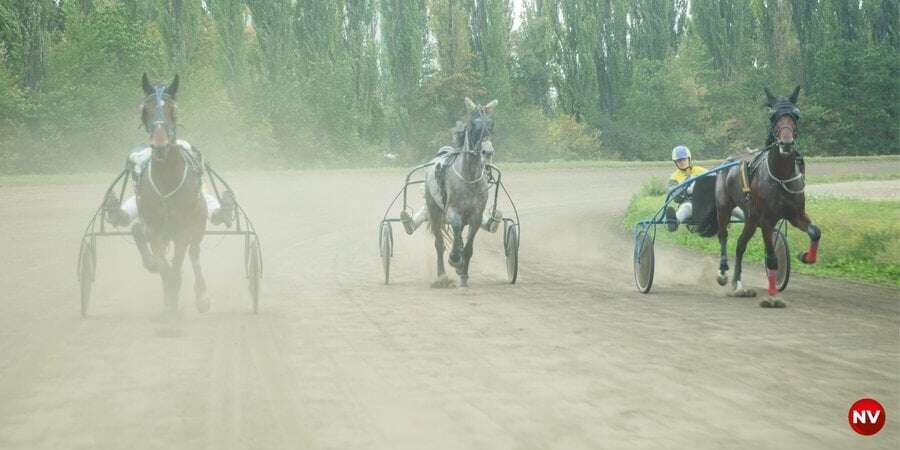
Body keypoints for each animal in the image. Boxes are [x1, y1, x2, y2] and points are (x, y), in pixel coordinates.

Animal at [130, 73, 209, 312]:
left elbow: (178, 261)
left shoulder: (183, 228)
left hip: (198, 222)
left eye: (173, 110)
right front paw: (168, 300)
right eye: (144, 109)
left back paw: (202, 295)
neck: (166, 180)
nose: (160, 145)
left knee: (194, 253)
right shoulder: (154, 227)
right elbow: (162, 264)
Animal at [424, 98, 496, 288]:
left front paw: (463, 274)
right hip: (434, 211)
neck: (468, 178)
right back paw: (441, 275)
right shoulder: (452, 211)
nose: (487, 152)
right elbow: (455, 227)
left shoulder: (476, 215)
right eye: (474, 125)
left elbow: (469, 246)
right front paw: (455, 259)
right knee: (439, 243)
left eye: (491, 125)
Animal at [712, 86, 820, 308]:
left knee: (740, 244)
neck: (781, 175)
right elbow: (771, 258)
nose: (786, 144)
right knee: (724, 236)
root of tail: (728, 161)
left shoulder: (795, 214)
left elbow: (815, 232)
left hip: (751, 218)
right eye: (773, 116)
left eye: (796, 114)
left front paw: (806, 256)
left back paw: (738, 284)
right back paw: (723, 272)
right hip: (724, 207)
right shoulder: (767, 220)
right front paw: (772, 297)